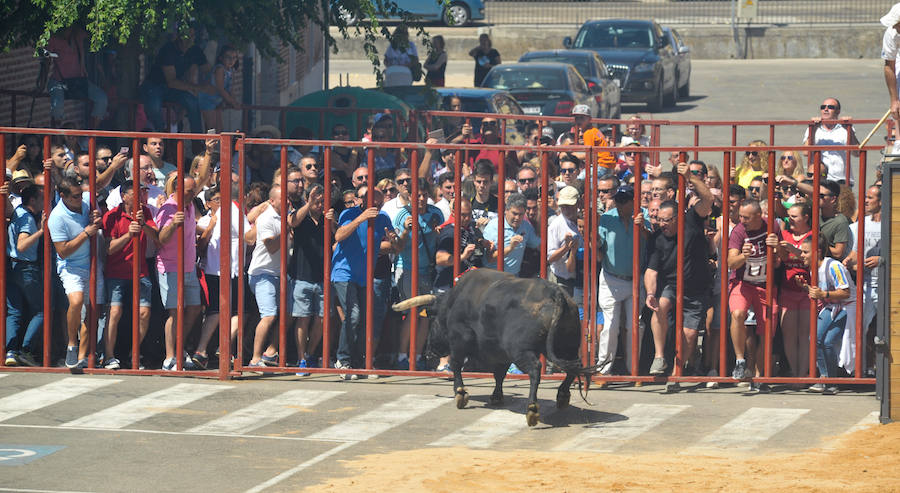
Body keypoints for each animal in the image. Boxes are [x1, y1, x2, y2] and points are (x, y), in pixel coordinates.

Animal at [392, 268, 592, 424]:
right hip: (566, 347)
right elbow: (499, 374)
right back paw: (562, 396)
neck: (454, 302)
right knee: (574, 367)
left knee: (535, 369)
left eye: (433, 322)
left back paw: (532, 408)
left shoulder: (459, 340)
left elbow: (456, 365)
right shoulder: (499, 352)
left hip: (521, 351)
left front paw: (460, 393)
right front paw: (496, 396)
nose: (429, 352)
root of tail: (555, 293)